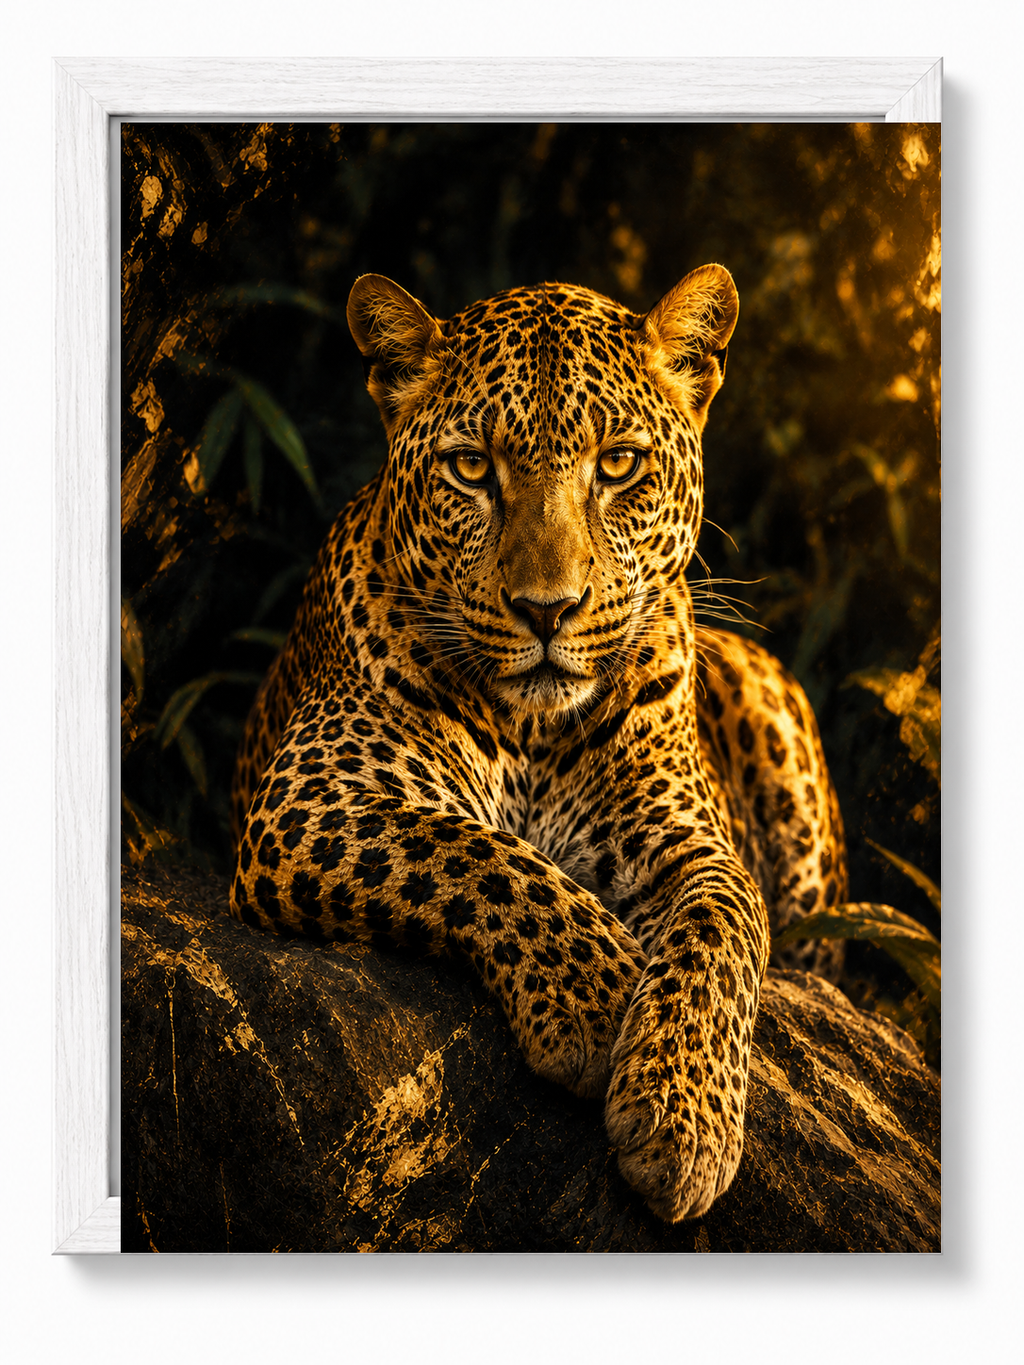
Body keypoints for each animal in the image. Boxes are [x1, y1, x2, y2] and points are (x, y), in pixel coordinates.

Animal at [228, 266, 847, 1223]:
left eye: (618, 464)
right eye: (471, 467)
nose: (546, 610)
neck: (532, 731)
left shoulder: (693, 845)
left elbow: (724, 930)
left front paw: (683, 1123)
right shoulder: (310, 795)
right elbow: (475, 851)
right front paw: (601, 997)